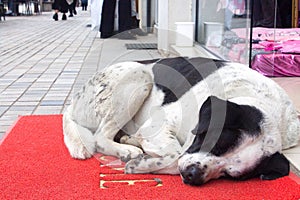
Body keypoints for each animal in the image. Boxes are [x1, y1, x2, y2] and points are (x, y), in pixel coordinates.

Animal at [62, 56, 298, 184]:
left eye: (229, 174)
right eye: (214, 143)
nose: (194, 174)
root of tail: (73, 102)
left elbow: (177, 156)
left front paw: (144, 163)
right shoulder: (159, 125)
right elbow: (177, 153)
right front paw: (141, 162)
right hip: (138, 74)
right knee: (100, 137)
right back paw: (127, 150)